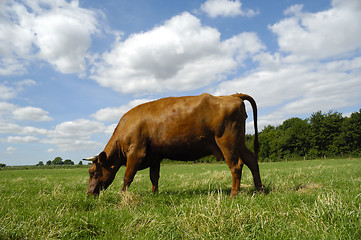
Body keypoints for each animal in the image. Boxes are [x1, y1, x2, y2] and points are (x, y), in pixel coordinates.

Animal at [84, 93, 264, 196]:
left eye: (92, 172)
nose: (89, 193)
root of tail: (232, 95)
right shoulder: (155, 156)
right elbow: (154, 176)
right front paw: (154, 194)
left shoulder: (135, 153)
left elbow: (128, 176)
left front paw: (122, 195)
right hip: (239, 142)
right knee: (251, 161)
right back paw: (260, 189)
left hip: (227, 142)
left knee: (236, 165)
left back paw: (234, 194)